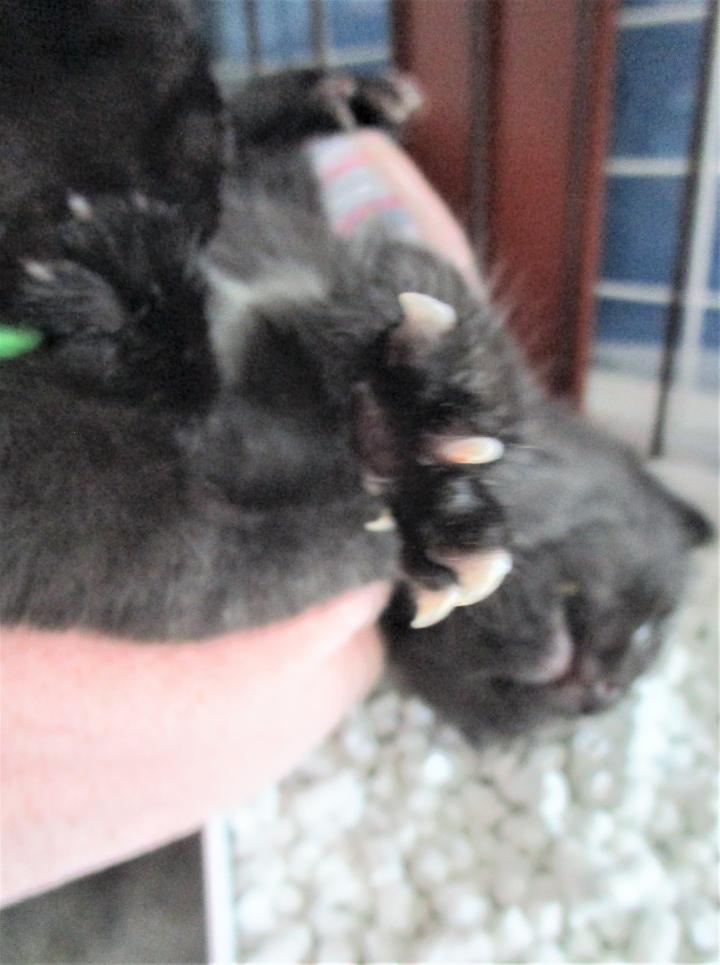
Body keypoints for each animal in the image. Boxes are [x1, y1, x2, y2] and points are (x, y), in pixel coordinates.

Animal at [0, 0, 710, 741]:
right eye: (651, 630)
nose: (600, 691)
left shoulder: (183, 528)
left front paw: (407, 449)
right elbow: (438, 297)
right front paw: (421, 407)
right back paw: (337, 100)